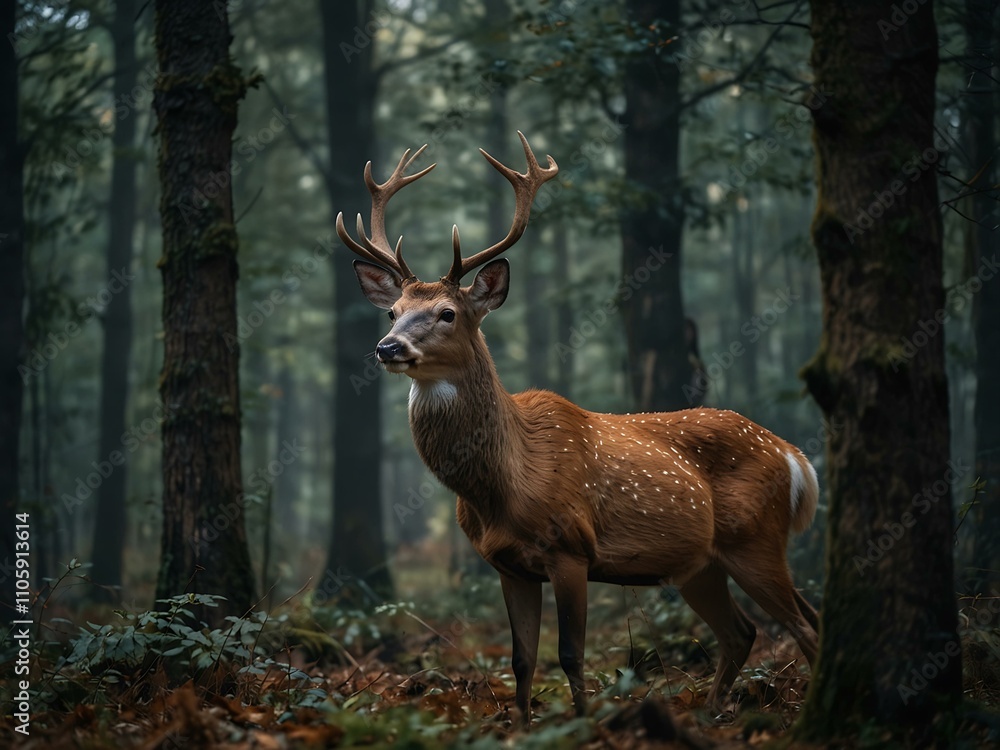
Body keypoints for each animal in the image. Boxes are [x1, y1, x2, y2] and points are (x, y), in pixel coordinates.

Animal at [337, 132, 820, 725]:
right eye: (393, 312)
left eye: (448, 313)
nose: (388, 347)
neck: (504, 485)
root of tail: (794, 456)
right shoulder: (508, 566)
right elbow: (522, 660)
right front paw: (523, 726)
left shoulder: (571, 547)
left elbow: (570, 654)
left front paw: (585, 723)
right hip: (700, 564)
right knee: (747, 631)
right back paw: (708, 715)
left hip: (756, 539)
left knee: (802, 626)